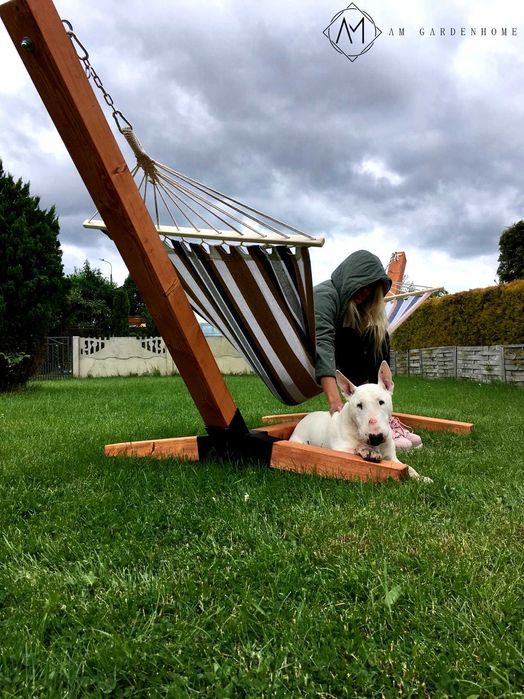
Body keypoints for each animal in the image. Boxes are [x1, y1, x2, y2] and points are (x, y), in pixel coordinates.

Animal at [289, 361, 430, 482]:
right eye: (359, 405)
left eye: (381, 402)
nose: (376, 437)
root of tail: (305, 417)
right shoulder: (339, 449)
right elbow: (354, 450)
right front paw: (367, 451)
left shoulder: (392, 458)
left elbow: (407, 467)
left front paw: (422, 478)